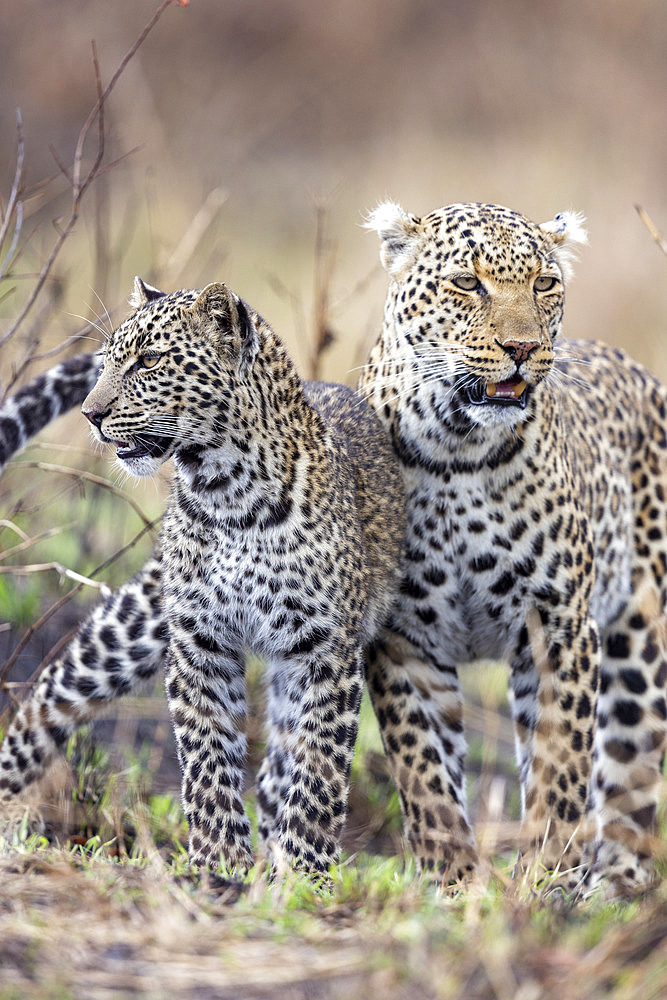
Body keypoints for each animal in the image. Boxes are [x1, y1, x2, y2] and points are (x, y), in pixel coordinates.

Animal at [1, 205, 667, 900]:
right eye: (467, 283)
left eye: (151, 362)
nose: (91, 413)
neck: (225, 491)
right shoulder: (213, 640)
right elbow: (218, 762)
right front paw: (221, 869)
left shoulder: (514, 630)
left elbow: (547, 766)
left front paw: (538, 880)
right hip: (133, 631)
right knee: (52, 696)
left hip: (636, 638)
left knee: (630, 760)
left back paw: (616, 882)